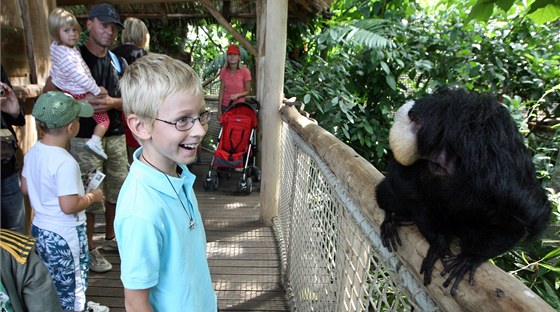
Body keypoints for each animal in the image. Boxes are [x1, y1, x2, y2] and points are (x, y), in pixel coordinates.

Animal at [376, 88, 552, 294]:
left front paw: (472, 256)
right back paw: (395, 218)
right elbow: (408, 188)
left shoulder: (491, 156)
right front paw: (439, 240)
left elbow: (520, 217)